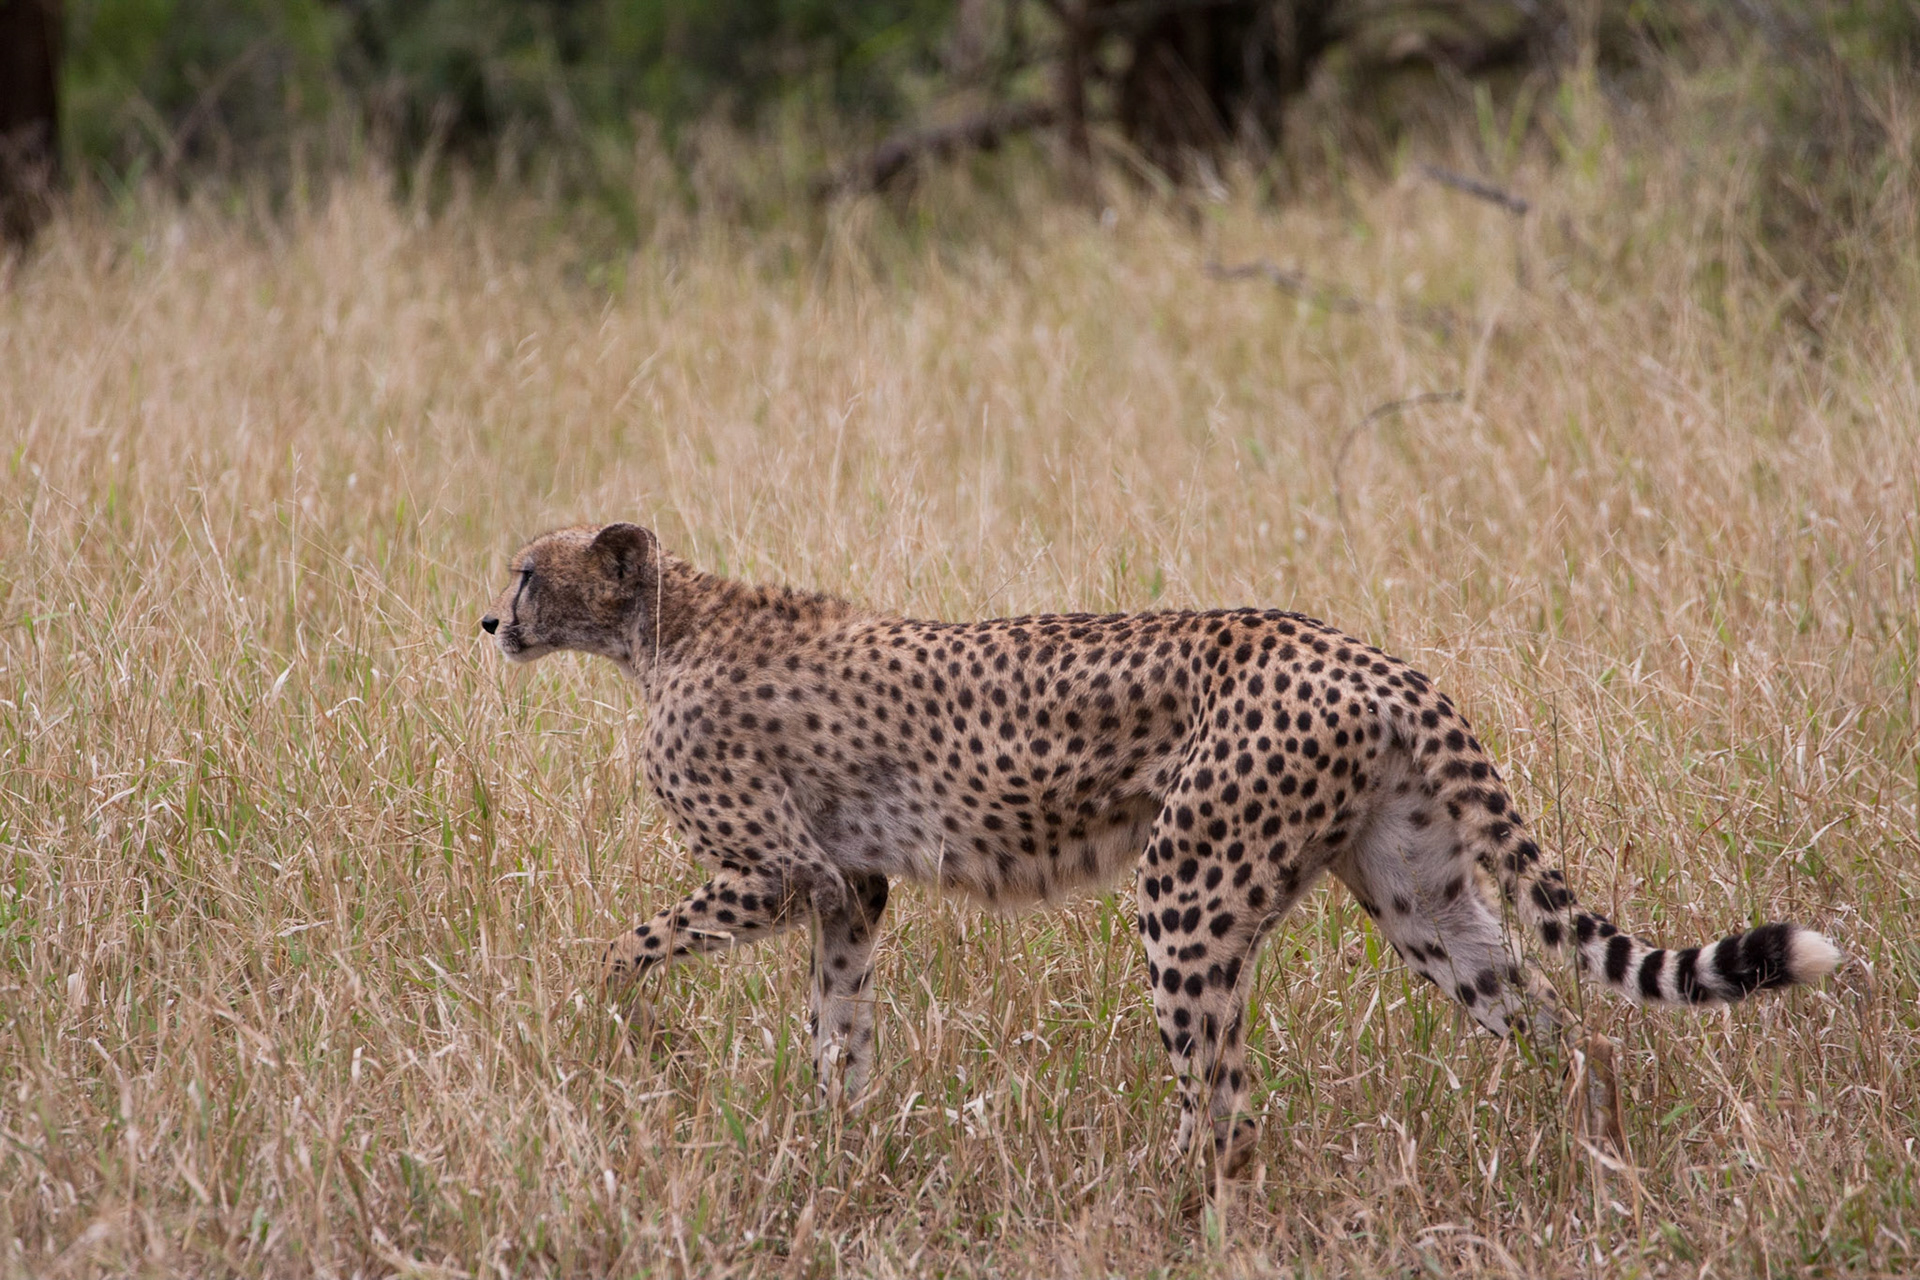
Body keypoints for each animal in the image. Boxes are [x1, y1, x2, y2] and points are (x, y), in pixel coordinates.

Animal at [482, 521, 1842, 1175]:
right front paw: (840, 1133)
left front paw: (595, 1014)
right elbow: (838, 1016)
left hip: (1185, 884)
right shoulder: (853, 886)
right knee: (1568, 1024)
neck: (660, 629)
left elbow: (635, 940)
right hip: (1417, 893)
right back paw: (1591, 1152)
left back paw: (1166, 1193)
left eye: (529, 571)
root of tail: (1364, 651)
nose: (489, 619)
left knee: (1226, 1103)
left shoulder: (785, 870)